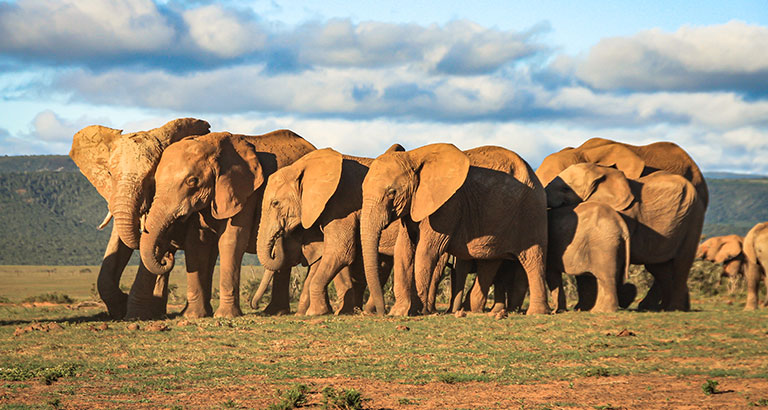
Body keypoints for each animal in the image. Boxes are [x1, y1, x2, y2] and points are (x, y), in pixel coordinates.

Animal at [68, 117, 213, 318]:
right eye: (110, 173)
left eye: (152, 177)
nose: (168, 257)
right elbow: (117, 244)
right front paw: (120, 308)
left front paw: (134, 314)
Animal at [138, 131, 316, 318]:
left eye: (192, 181)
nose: (166, 258)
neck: (212, 145)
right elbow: (196, 243)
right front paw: (193, 316)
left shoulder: (246, 192)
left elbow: (231, 240)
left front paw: (225, 315)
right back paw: (275, 312)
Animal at [356, 144, 548, 318]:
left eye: (392, 192)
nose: (381, 313)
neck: (413, 156)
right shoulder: (412, 206)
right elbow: (403, 250)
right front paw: (399, 312)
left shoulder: (448, 205)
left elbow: (427, 250)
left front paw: (414, 311)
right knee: (490, 260)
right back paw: (471, 310)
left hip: (531, 211)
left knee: (532, 258)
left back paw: (536, 313)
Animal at [544, 163, 704, 310]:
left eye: (565, 189)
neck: (600, 171)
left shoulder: (626, 213)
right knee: (659, 267)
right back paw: (666, 308)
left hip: (693, 217)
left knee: (681, 264)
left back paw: (674, 308)